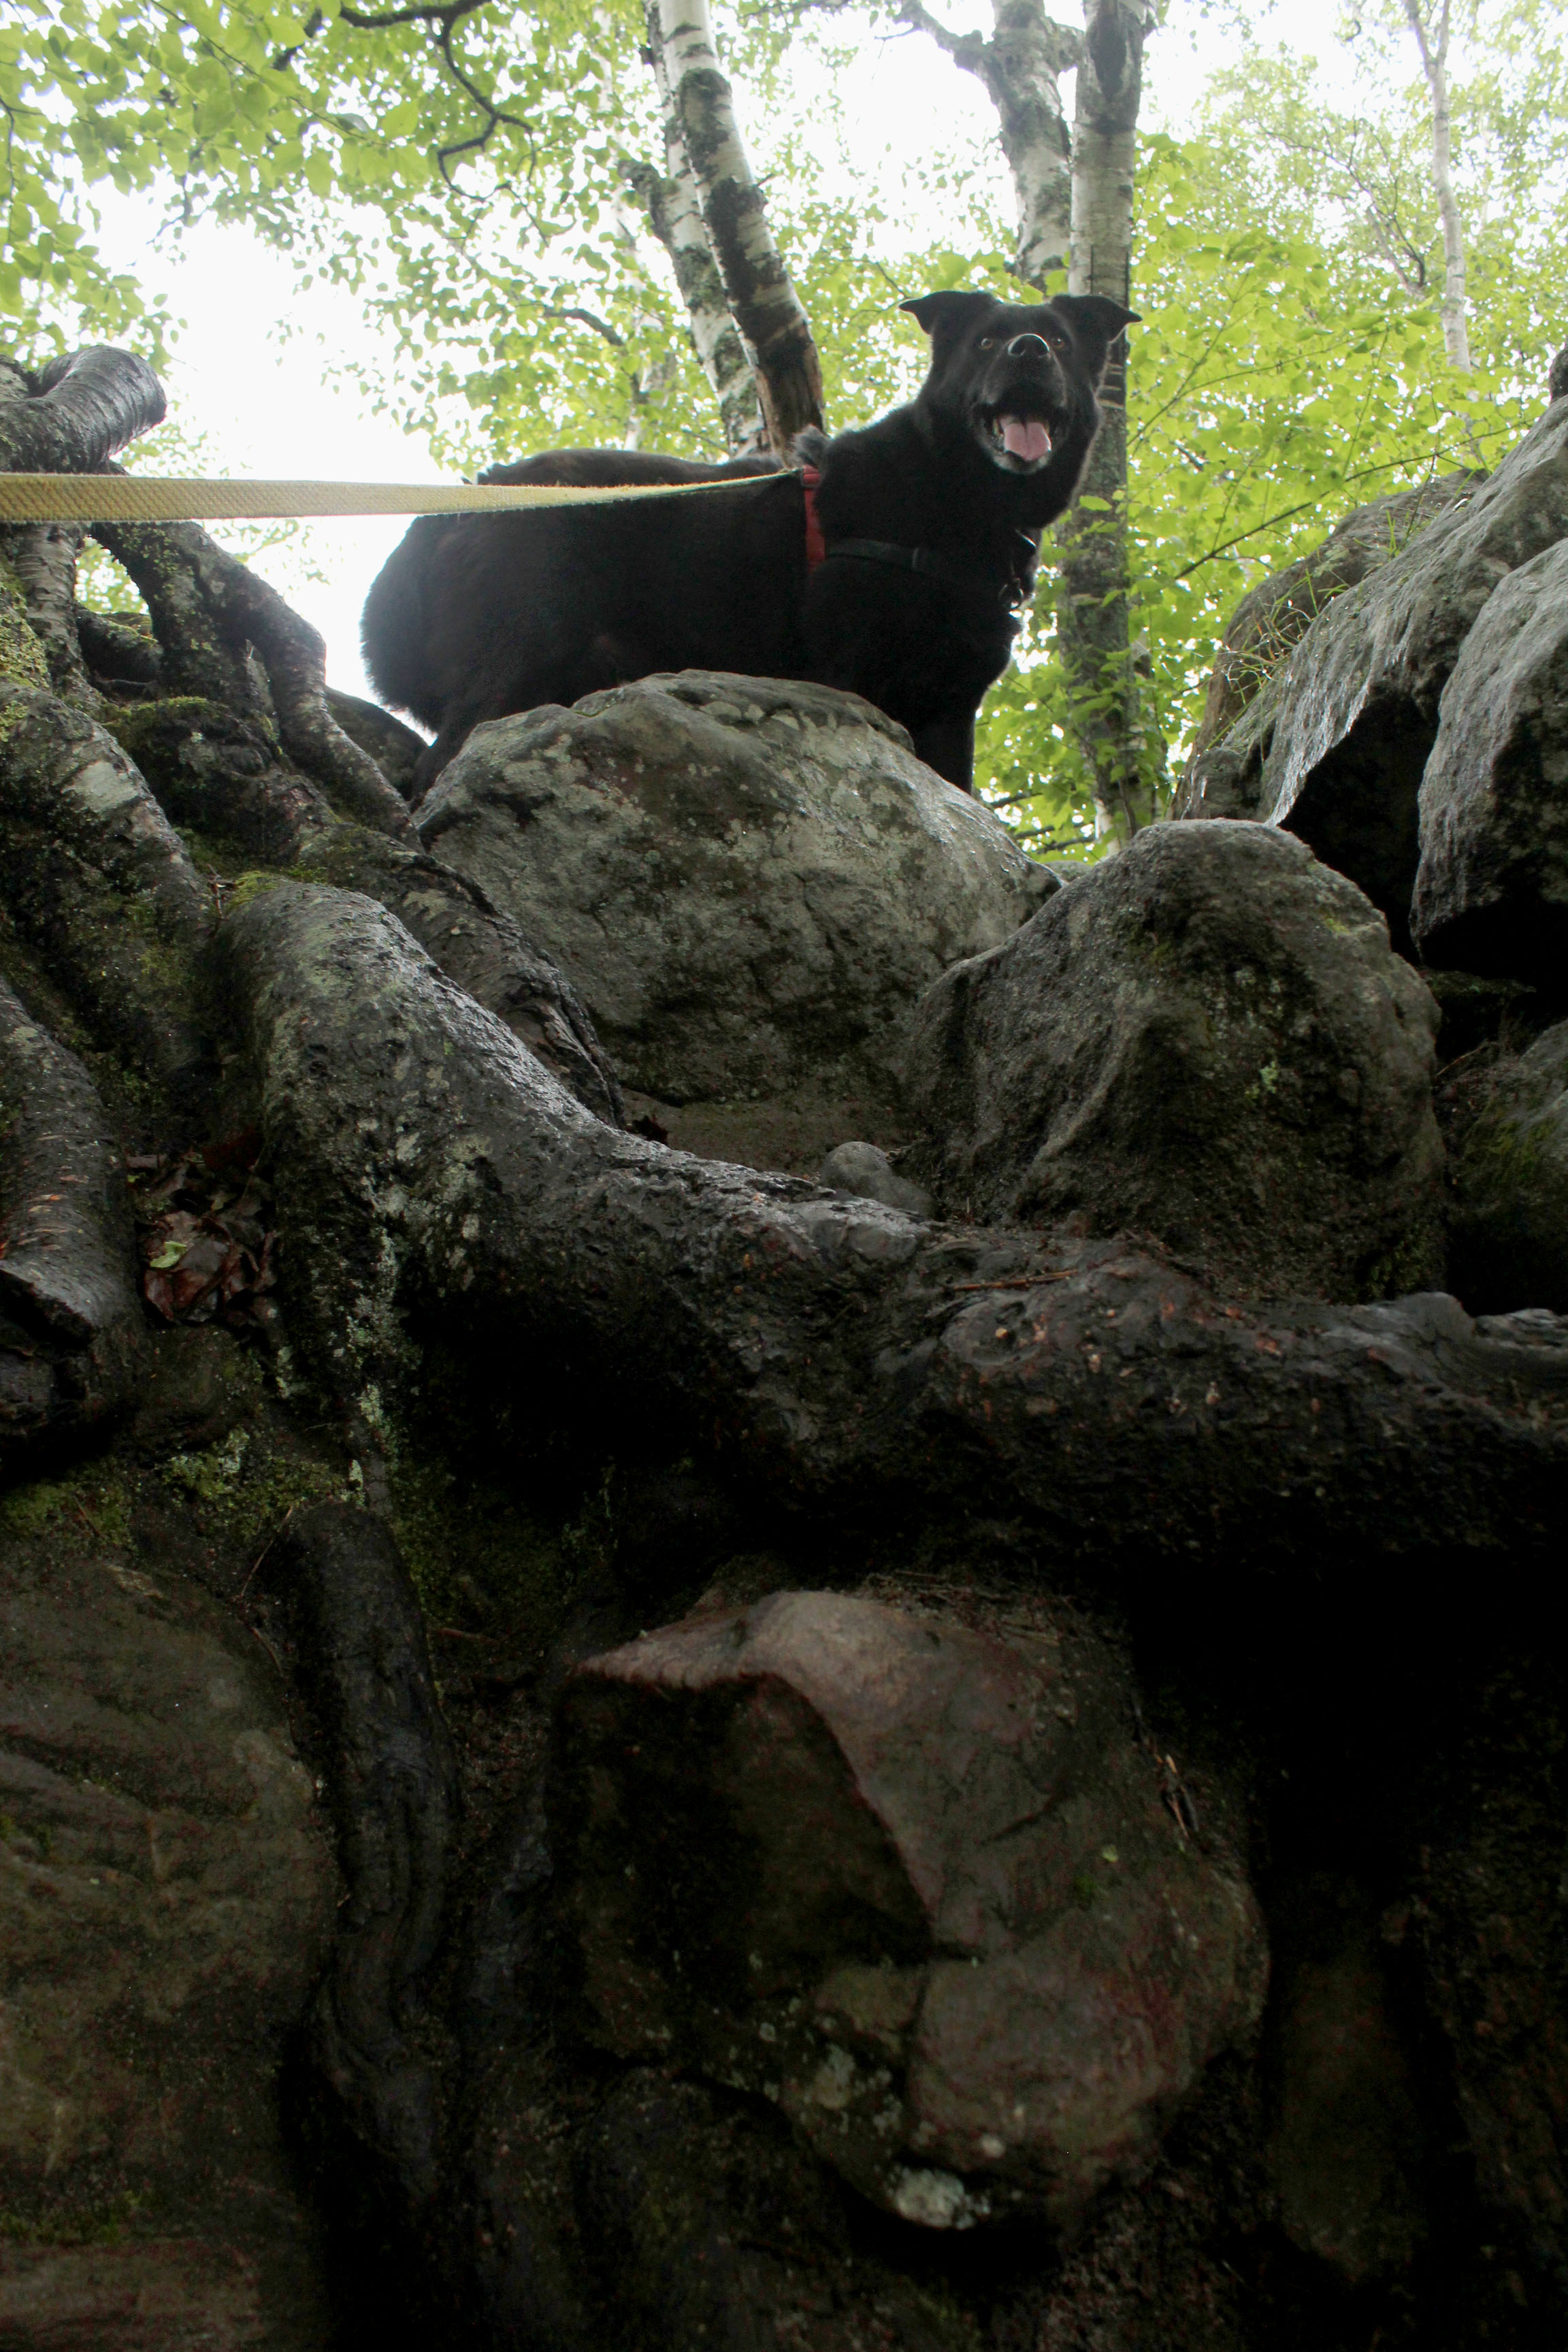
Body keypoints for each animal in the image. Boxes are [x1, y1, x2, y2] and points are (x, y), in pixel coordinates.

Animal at [361, 285, 1132, 795]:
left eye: (1061, 342)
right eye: (986, 343)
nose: (1030, 351)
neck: (955, 497)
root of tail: (457, 503)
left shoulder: (950, 713)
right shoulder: (853, 679)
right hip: (520, 654)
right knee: (439, 763)